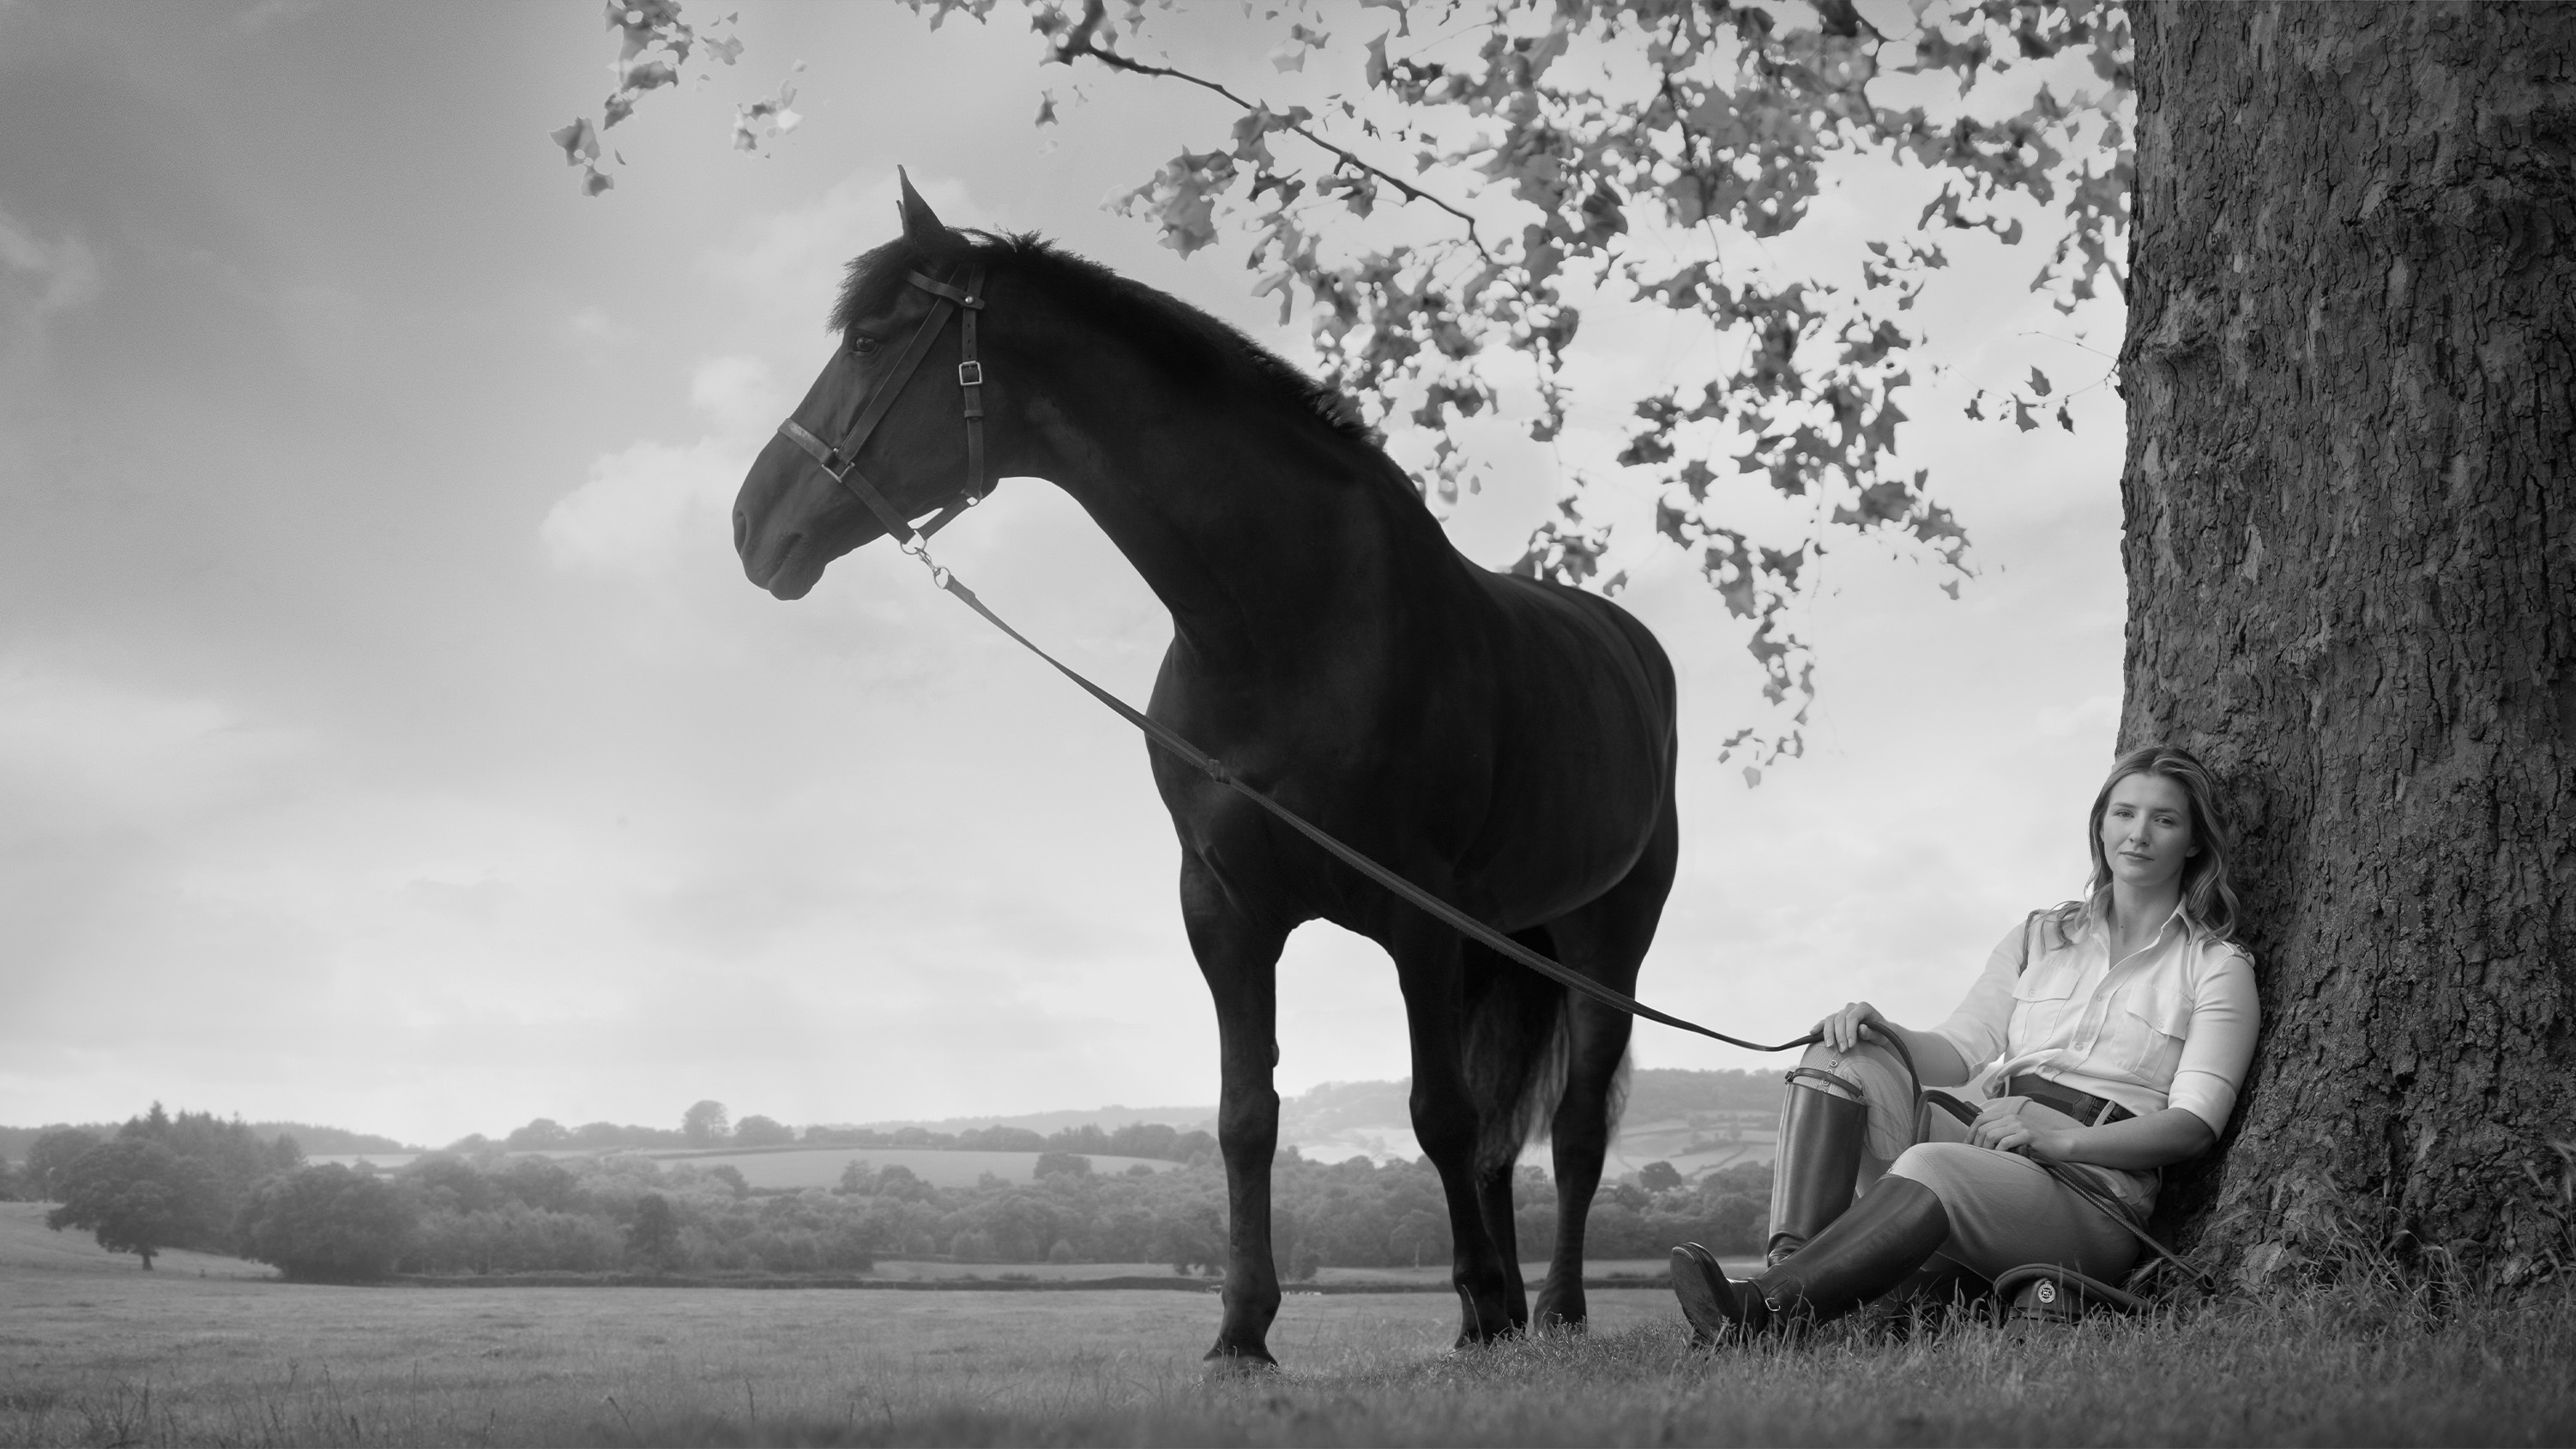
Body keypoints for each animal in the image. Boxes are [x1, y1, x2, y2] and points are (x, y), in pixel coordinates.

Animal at [732, 175, 1680, 1366]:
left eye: (868, 339)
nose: (749, 524)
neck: (1283, 625)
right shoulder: (1223, 910)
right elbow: (1247, 1117)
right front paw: (1244, 1330)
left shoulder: (1418, 917)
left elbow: (1437, 1115)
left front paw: (1473, 1303)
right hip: (1500, 943)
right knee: (1507, 1139)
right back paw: (1499, 1318)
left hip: (1603, 945)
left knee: (1574, 1131)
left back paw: (1546, 1311)